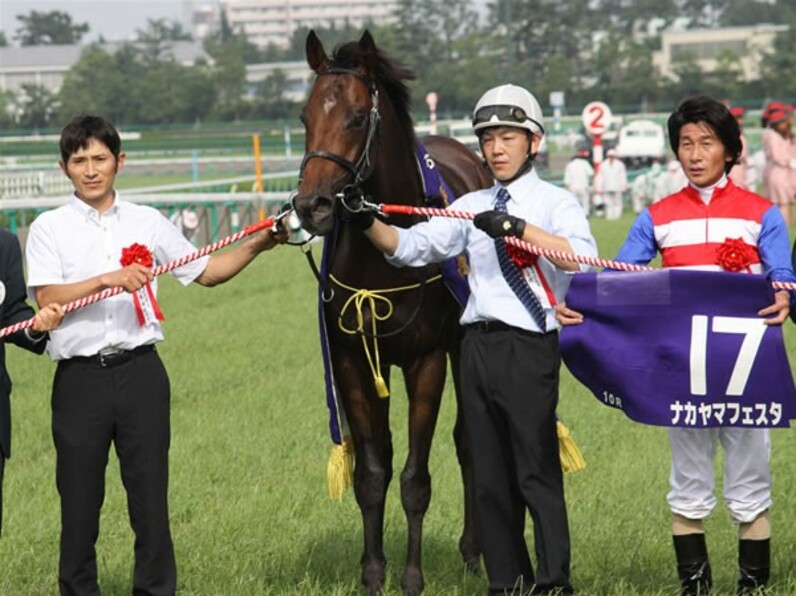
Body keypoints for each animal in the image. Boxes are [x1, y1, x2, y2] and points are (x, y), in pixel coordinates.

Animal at [292, 31, 492, 596]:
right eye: (304, 116)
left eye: (358, 117)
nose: (312, 205)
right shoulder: (353, 361)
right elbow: (372, 474)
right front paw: (372, 572)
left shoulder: (426, 361)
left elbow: (415, 479)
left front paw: (412, 576)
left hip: (462, 346)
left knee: (468, 444)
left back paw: (474, 551)